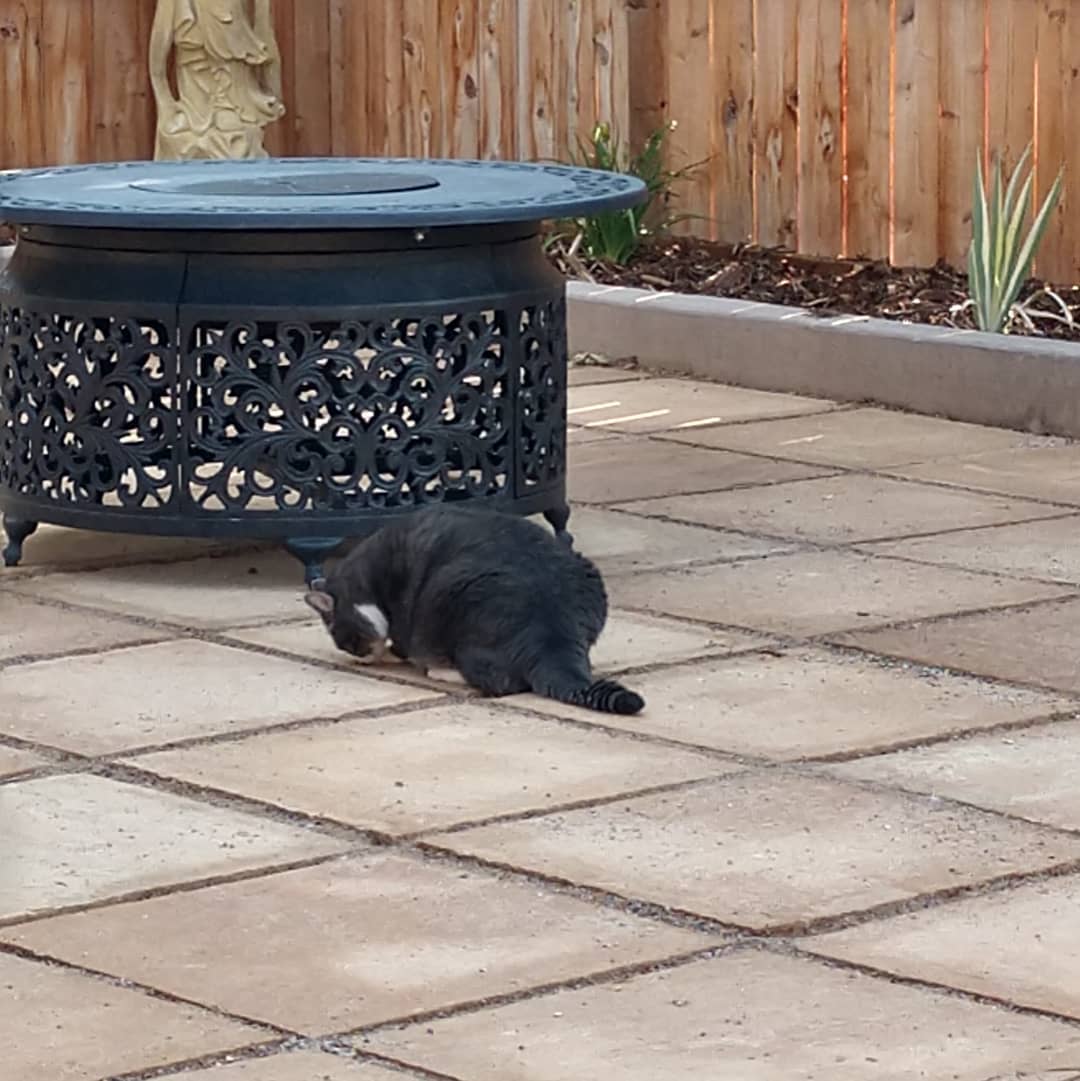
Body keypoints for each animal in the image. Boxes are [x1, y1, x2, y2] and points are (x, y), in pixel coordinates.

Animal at [304, 504, 645, 715]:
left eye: (347, 641)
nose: (359, 658)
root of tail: (552, 632)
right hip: (590, 576)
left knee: (499, 683)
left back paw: (443, 670)